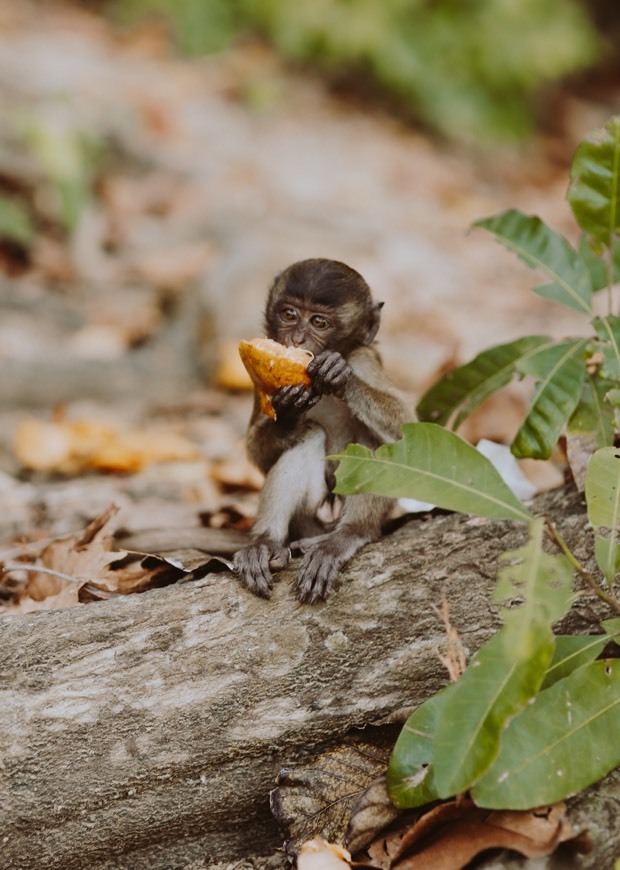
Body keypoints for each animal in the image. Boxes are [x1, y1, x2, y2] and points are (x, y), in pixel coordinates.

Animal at [234, 255, 412, 604]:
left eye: (319, 323)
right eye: (289, 314)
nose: (296, 340)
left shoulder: (364, 359)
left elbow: (408, 432)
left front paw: (340, 377)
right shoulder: (256, 378)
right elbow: (257, 452)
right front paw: (289, 413)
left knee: (373, 441)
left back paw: (346, 535)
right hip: (306, 523)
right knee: (310, 434)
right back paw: (266, 542)